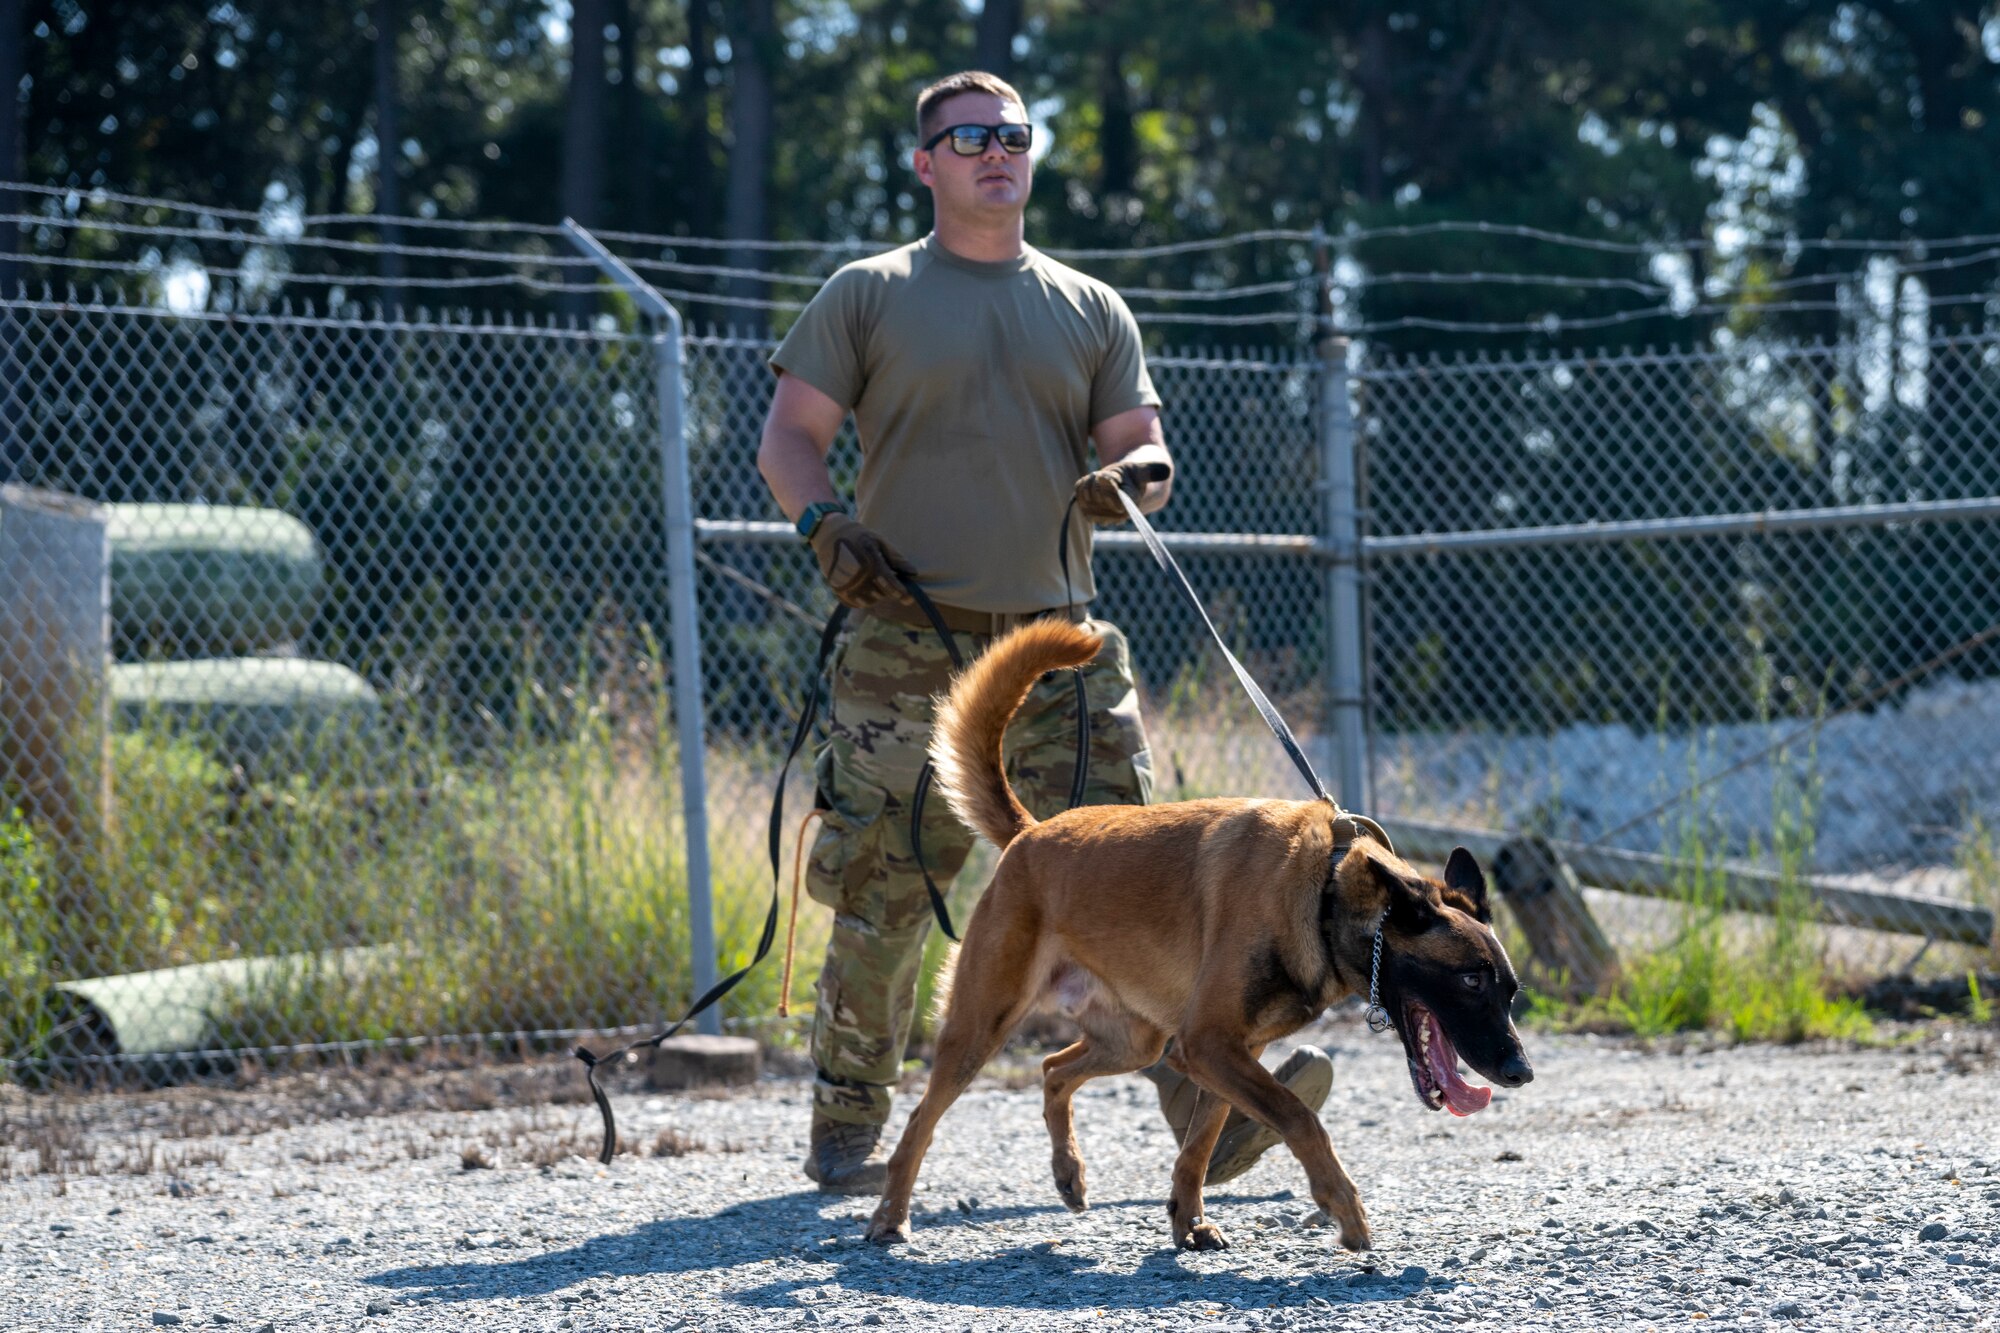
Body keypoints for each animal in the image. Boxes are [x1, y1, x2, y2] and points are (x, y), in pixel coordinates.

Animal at [868, 616, 1536, 1248]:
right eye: (1471, 981)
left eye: (1509, 991)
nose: (1521, 1073)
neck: (1323, 891)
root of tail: (1030, 834)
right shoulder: (1211, 1044)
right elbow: (1299, 1116)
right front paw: (1343, 1207)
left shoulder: (1227, 1050)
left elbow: (1201, 1140)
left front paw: (1189, 1221)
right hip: (981, 1027)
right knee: (920, 1119)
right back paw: (890, 1216)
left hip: (1136, 1040)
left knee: (1054, 1068)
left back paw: (1068, 1173)